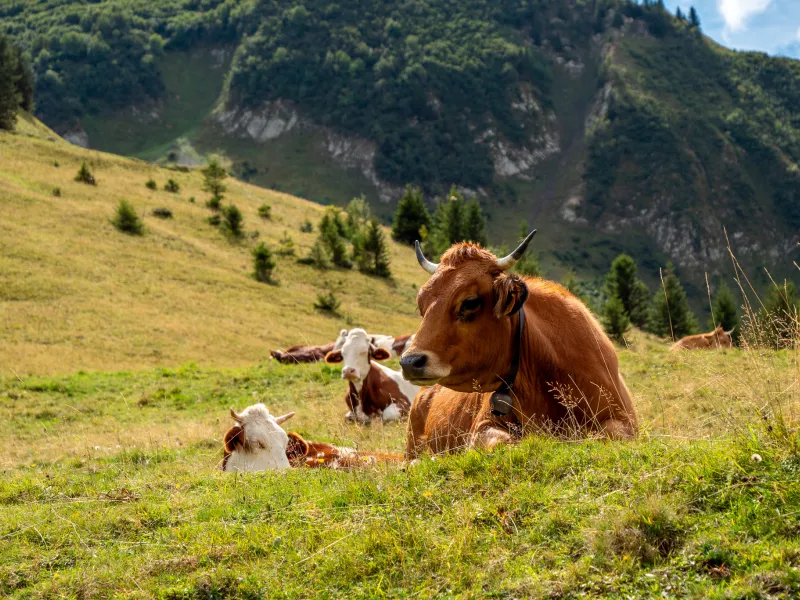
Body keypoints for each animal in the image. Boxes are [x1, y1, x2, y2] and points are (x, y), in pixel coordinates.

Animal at [399, 232, 638, 459]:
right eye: (421, 305)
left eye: (470, 302)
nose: (410, 361)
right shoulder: (483, 426)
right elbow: (506, 442)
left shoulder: (625, 419)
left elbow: (608, 434)